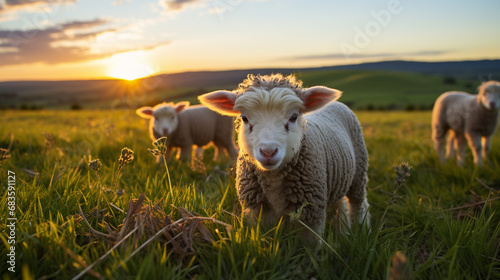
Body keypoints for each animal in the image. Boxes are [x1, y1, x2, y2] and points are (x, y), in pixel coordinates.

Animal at [197, 73, 370, 242]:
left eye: (293, 117)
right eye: (245, 118)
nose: (268, 151)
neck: (273, 179)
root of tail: (337, 103)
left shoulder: (311, 213)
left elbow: (308, 246)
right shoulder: (256, 212)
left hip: (359, 171)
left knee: (358, 204)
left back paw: (360, 230)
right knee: (340, 204)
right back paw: (343, 233)